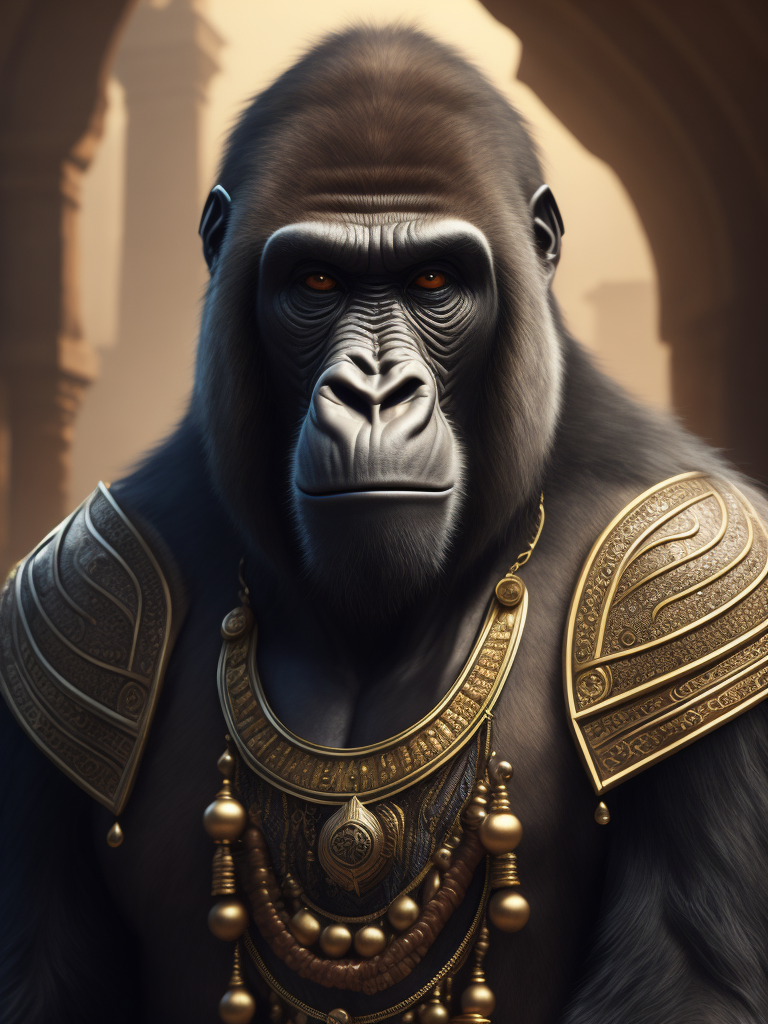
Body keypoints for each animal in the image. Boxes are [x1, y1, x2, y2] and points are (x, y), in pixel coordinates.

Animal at [2, 25, 768, 1024]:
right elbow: (45, 969)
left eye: (434, 279)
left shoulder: (699, 577)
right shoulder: (65, 596)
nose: (373, 392)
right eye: (316, 281)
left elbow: (693, 976)